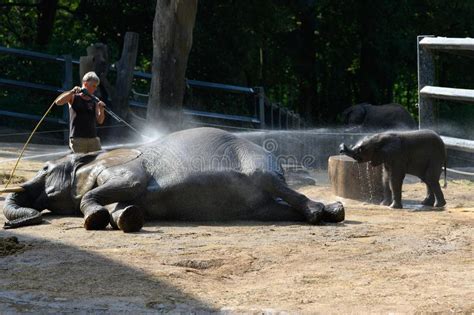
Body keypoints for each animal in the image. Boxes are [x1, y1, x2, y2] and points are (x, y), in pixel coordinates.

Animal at [2, 127, 344, 233]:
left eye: (45, 168)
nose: (11, 227)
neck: (92, 158)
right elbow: (123, 204)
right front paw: (127, 218)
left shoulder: (126, 167)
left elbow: (130, 185)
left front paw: (97, 220)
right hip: (257, 206)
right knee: (277, 207)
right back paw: (331, 212)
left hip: (256, 162)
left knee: (276, 186)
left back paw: (321, 214)